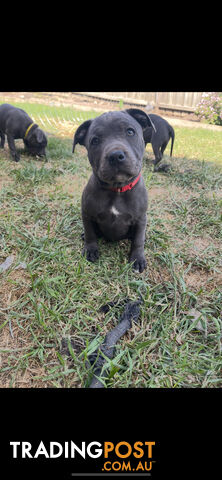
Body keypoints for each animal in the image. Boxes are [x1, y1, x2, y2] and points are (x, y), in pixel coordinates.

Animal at [72, 109, 155, 274]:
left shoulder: (141, 218)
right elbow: (90, 233)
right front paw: (90, 250)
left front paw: (137, 259)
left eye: (130, 132)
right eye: (95, 141)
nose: (115, 155)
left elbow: (138, 240)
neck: (117, 189)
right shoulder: (87, 213)